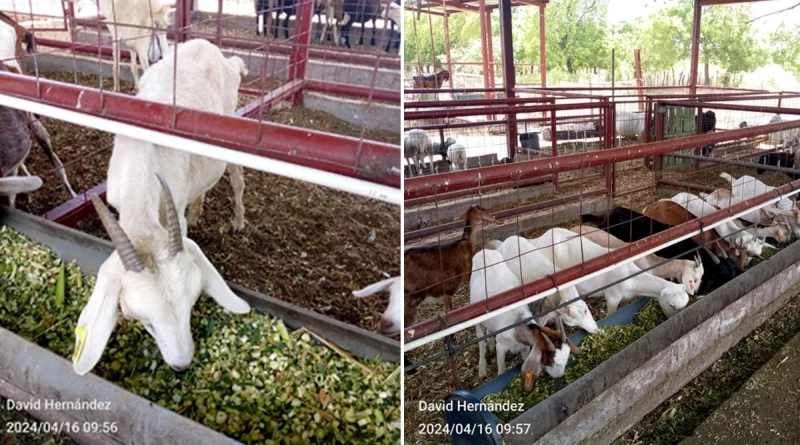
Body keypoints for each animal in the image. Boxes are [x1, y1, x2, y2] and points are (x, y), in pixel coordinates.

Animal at [74, 40, 252, 374]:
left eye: (192, 303)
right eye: (146, 322)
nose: (182, 365)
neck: (142, 160)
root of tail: (213, 49)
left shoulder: (174, 209)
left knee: (236, 177)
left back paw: (237, 221)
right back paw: (198, 213)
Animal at [472, 250, 580, 392]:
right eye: (547, 361)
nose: (559, 376)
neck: (517, 326)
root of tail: (483, 251)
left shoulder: (525, 347)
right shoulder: (501, 346)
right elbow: (501, 371)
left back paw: (489, 344)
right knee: (480, 338)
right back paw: (482, 369)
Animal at [532, 229, 688, 316]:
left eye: (685, 305)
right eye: (672, 305)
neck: (632, 278)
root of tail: (541, 237)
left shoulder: (627, 298)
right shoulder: (612, 298)